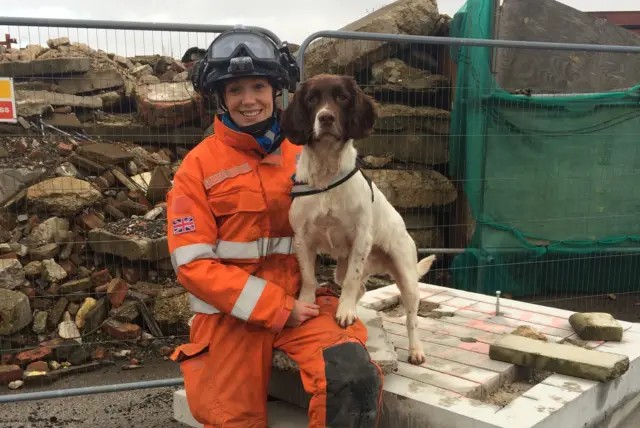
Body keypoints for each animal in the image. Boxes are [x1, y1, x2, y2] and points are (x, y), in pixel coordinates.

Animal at [280, 73, 436, 364]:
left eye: (342, 97)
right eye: (312, 99)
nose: (326, 118)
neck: (326, 175)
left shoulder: (361, 238)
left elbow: (353, 281)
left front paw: (345, 312)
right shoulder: (302, 237)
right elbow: (309, 277)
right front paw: (308, 303)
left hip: (406, 274)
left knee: (411, 317)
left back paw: (416, 350)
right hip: (341, 268)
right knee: (360, 287)